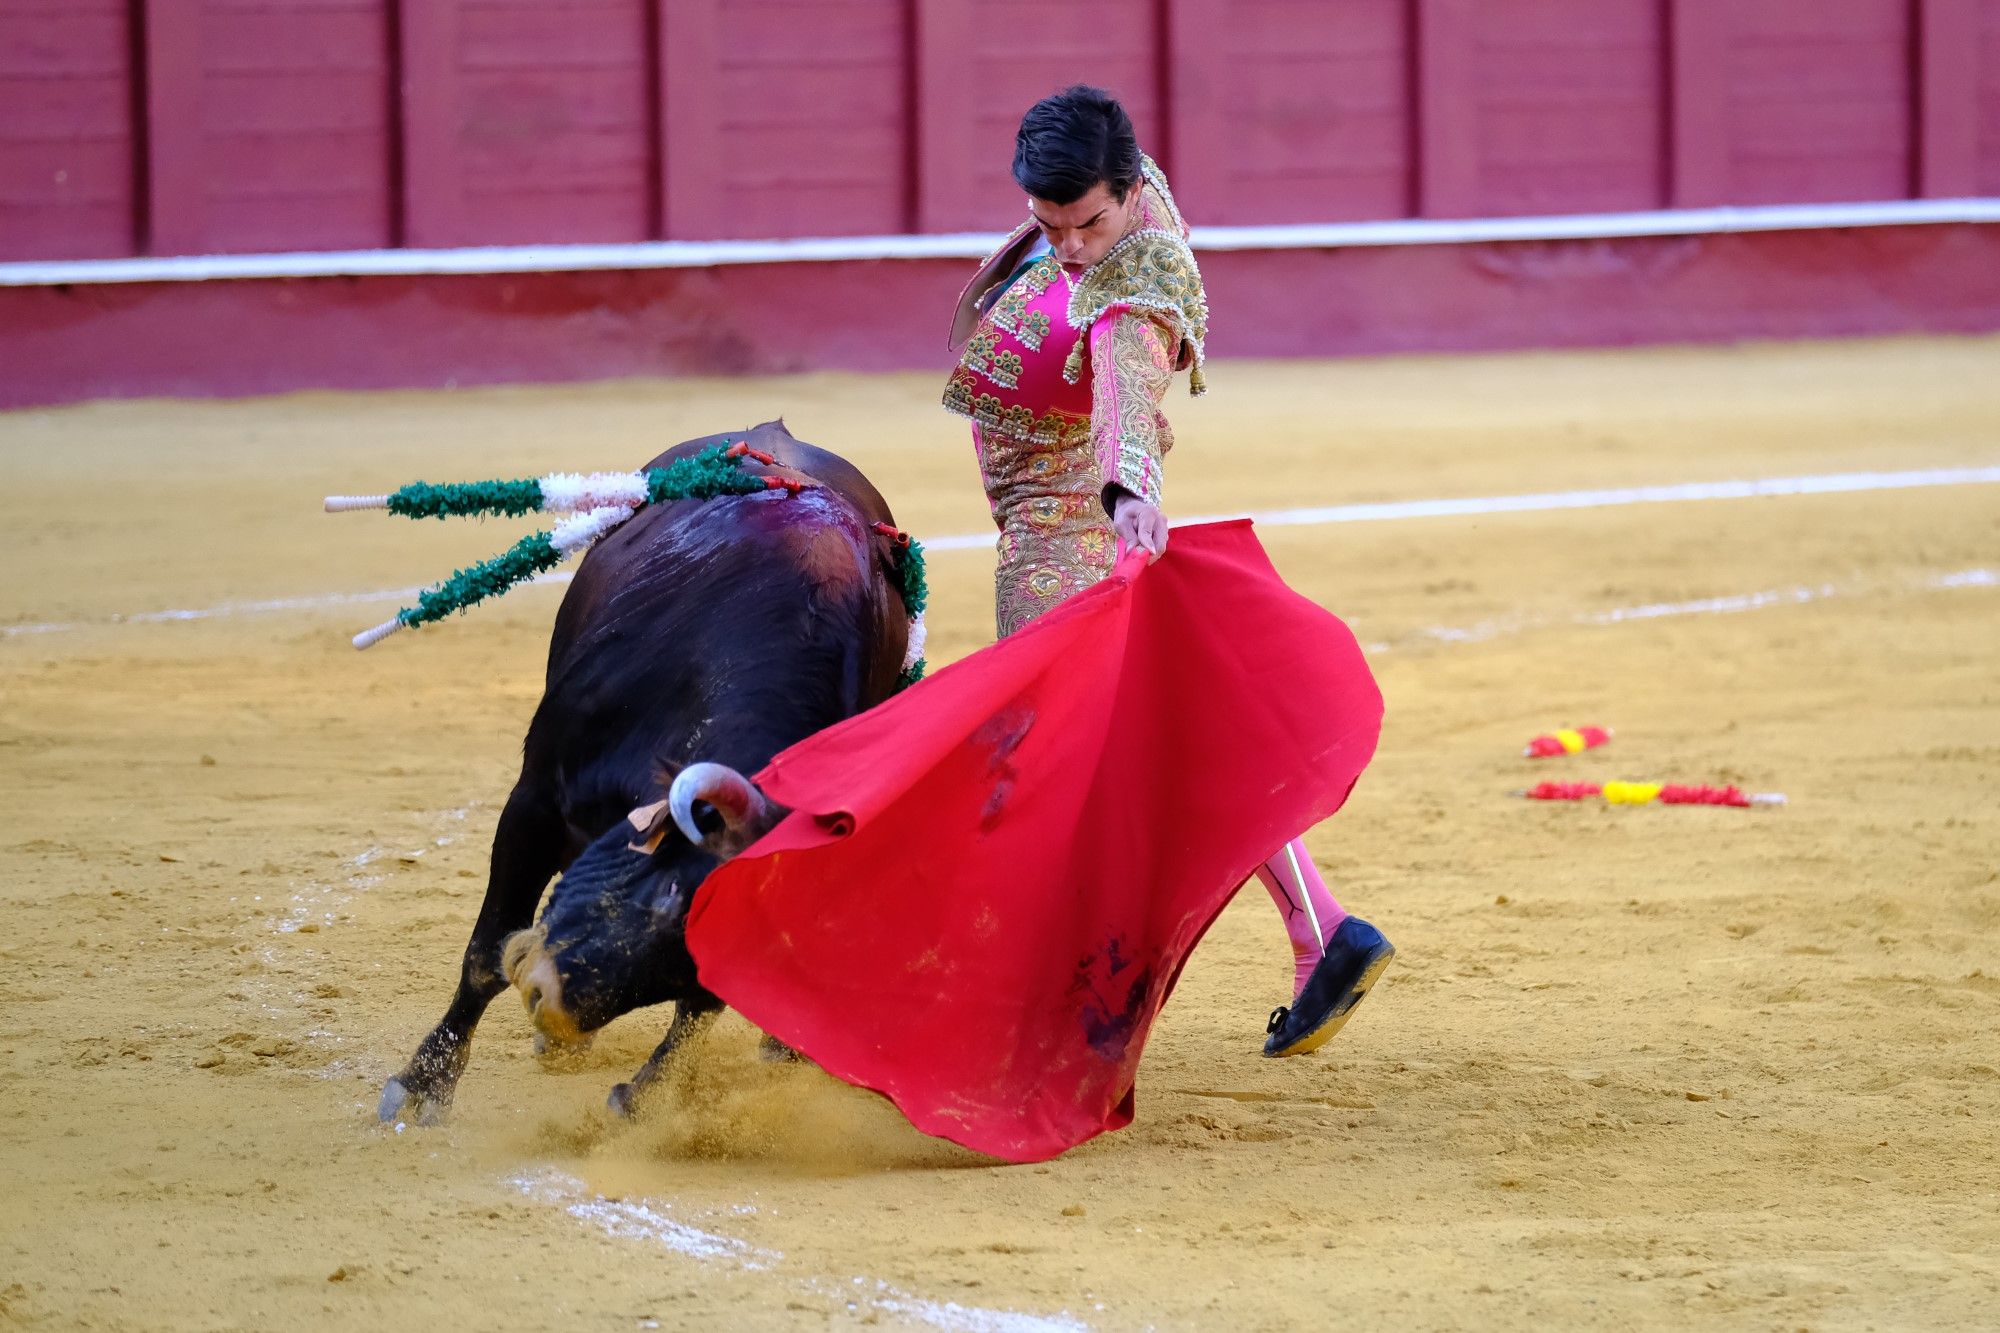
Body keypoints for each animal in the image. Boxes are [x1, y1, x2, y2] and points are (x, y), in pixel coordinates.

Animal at [376, 420, 908, 1112]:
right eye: (666, 897)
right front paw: (420, 1087)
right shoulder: (533, 802)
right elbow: (486, 950)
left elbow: (700, 1009)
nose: (550, 1006)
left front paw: (643, 1097)